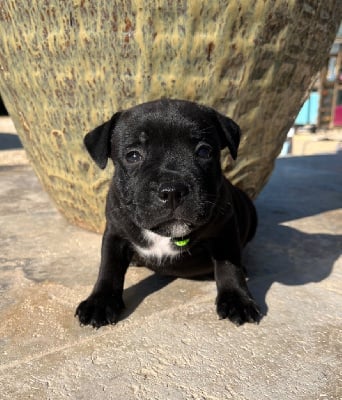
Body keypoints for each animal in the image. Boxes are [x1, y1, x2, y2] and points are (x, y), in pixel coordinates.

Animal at [76, 98, 260, 326]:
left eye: (204, 151)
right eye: (133, 156)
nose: (172, 190)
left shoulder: (225, 230)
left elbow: (229, 266)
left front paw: (237, 300)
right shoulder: (115, 233)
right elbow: (109, 268)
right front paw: (100, 302)